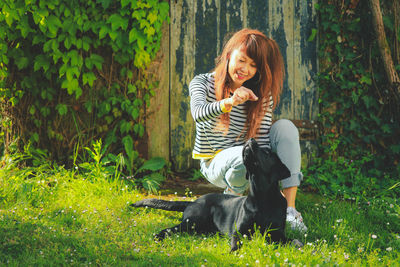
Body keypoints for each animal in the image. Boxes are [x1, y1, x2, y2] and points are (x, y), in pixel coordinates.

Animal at [130, 139, 298, 252]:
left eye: (268, 153)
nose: (251, 139)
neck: (261, 197)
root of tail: (193, 201)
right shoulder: (238, 231)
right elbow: (236, 245)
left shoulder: (277, 234)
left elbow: (296, 241)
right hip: (192, 221)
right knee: (169, 229)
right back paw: (158, 236)